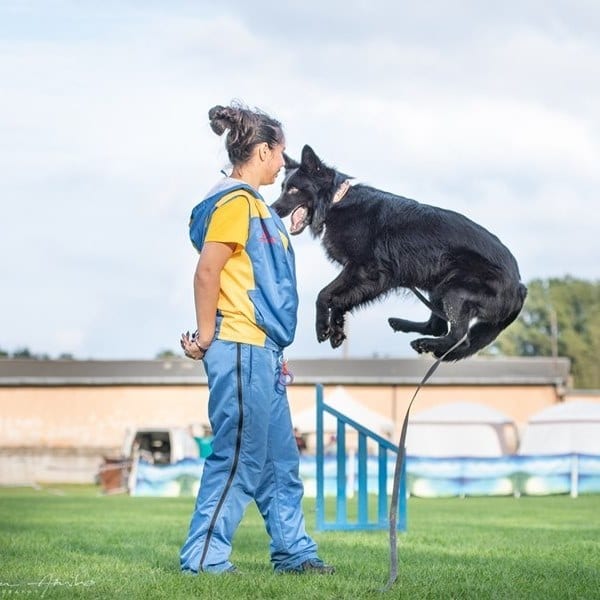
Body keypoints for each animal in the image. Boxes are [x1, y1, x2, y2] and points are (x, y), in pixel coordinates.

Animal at [270, 145, 524, 360]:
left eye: (293, 189)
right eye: (282, 188)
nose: (272, 208)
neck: (336, 201)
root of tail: (520, 286)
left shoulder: (364, 270)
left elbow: (324, 294)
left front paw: (323, 326)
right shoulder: (376, 279)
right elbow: (341, 299)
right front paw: (337, 327)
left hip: (455, 290)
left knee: (459, 337)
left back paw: (426, 343)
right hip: (438, 287)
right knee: (438, 326)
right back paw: (403, 325)